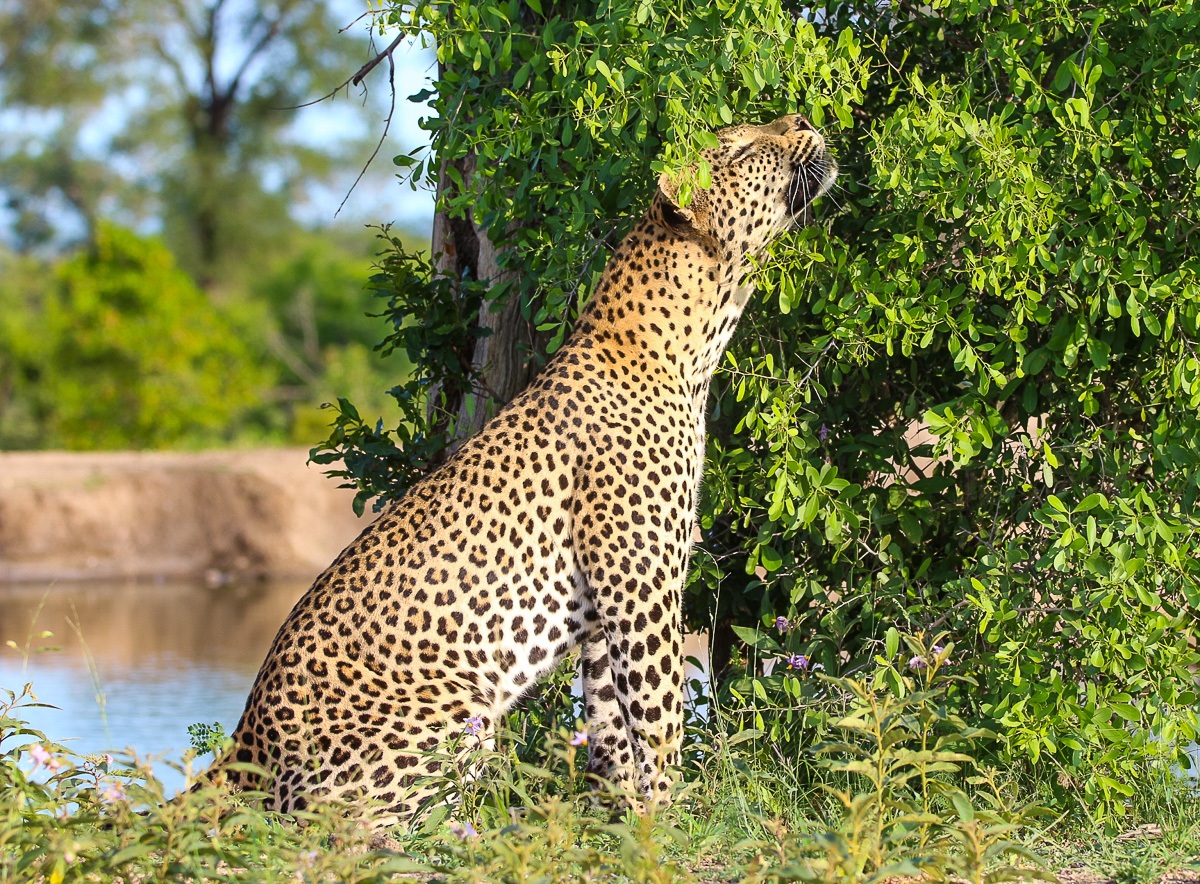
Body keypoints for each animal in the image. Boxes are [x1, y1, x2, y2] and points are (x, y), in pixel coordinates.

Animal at [223, 113, 837, 829]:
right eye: (742, 147)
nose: (803, 120)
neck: (691, 344)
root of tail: (240, 748)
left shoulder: (603, 610)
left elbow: (610, 723)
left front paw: (622, 816)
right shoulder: (643, 590)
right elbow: (660, 716)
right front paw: (674, 816)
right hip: (457, 712)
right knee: (340, 830)